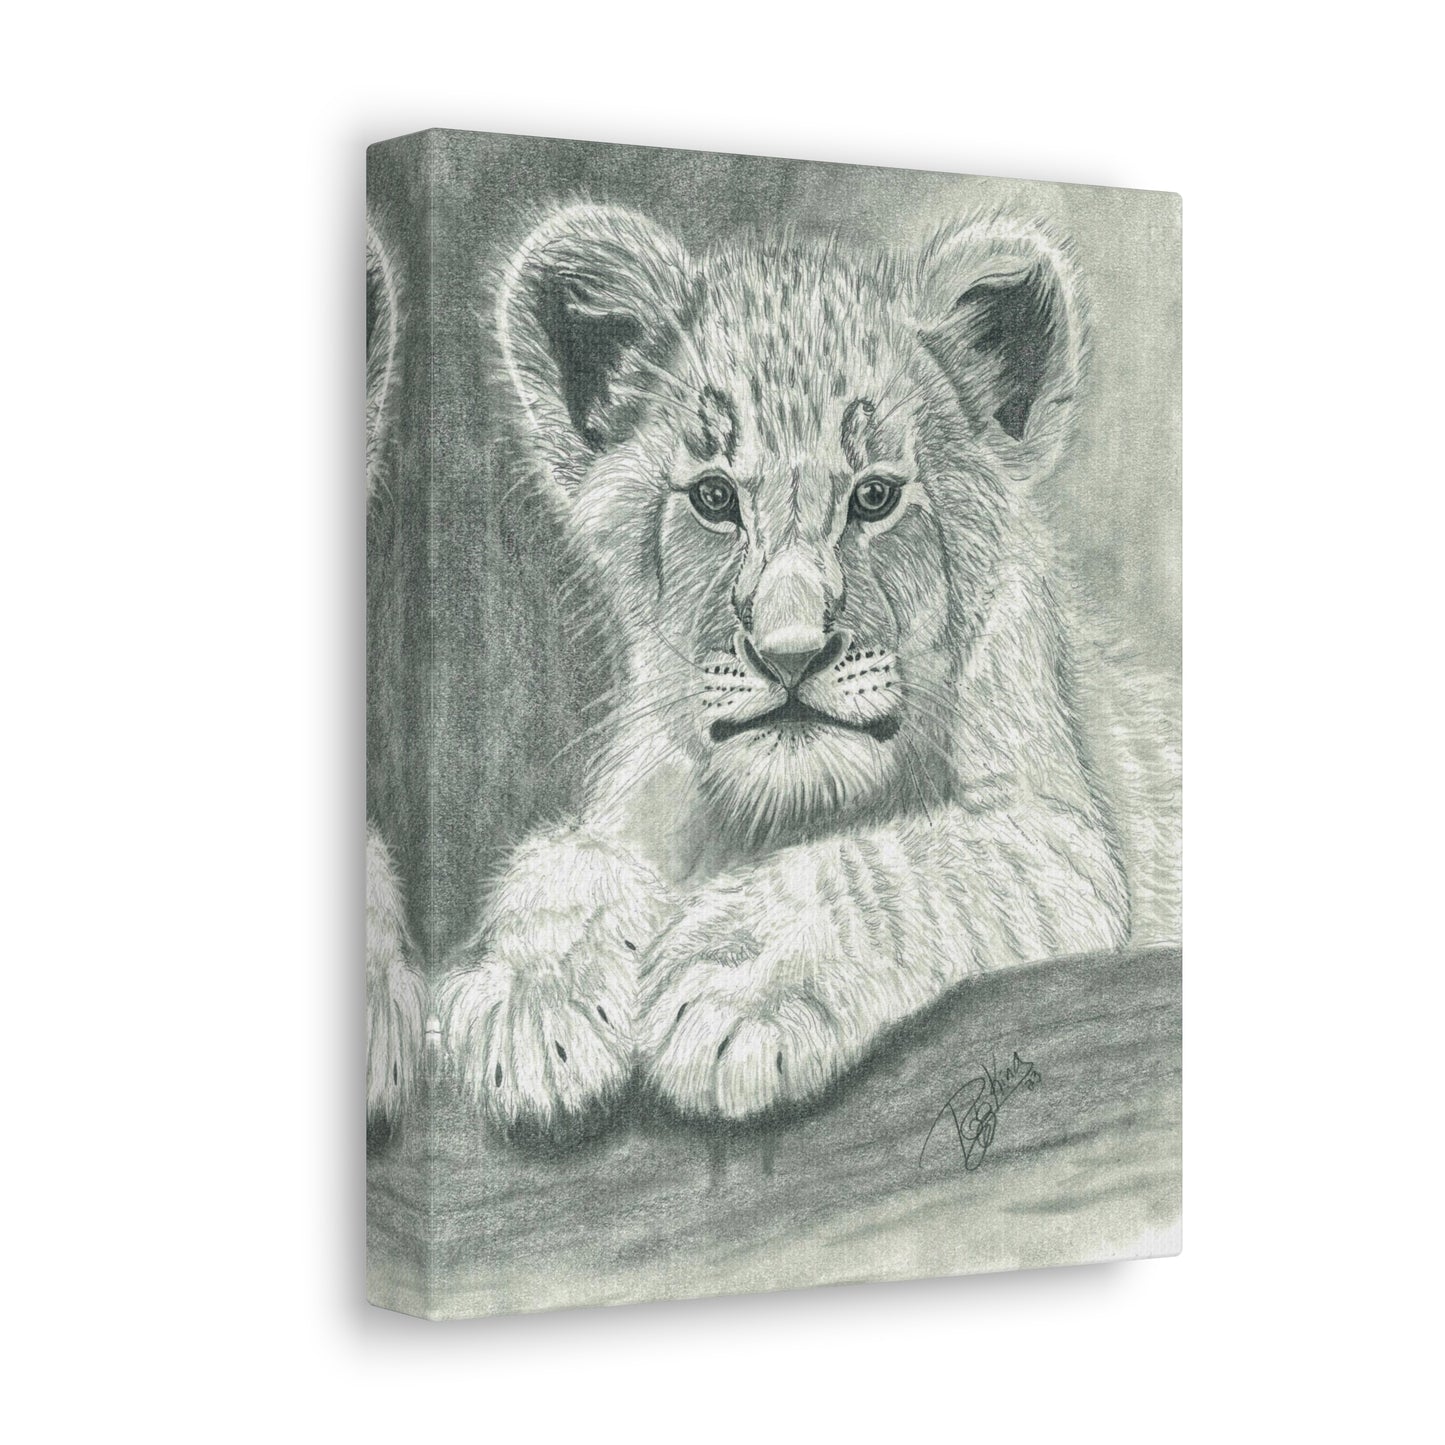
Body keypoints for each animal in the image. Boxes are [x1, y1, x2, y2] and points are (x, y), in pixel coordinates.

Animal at [440, 203, 1181, 1132]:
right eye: (714, 497)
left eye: (874, 497)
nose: (789, 652)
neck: (789, 808)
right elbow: (567, 865)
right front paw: (533, 1000)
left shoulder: (1063, 847)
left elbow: (897, 865)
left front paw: (737, 981)